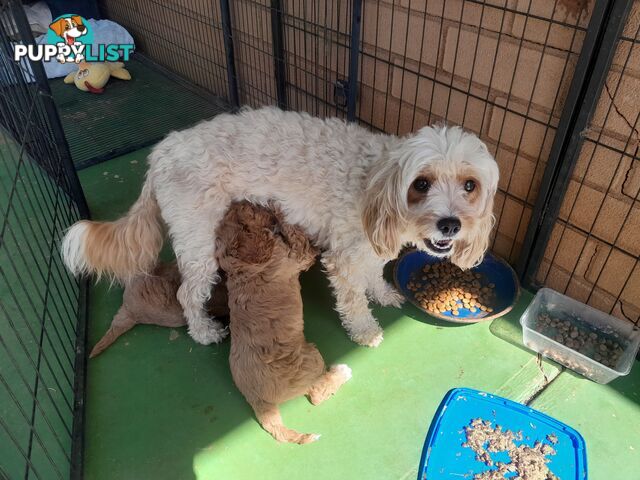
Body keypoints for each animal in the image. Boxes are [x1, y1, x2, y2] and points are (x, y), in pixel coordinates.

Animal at [61, 107, 500, 348]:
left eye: (470, 186)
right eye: (421, 183)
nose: (450, 223)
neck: (374, 180)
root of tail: (160, 153)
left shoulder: (372, 247)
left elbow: (374, 274)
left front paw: (383, 293)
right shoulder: (344, 258)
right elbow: (353, 300)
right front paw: (364, 331)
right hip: (198, 242)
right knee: (187, 293)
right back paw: (202, 332)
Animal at [218, 201, 352, 444]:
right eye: (245, 216)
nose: (241, 201)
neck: (243, 268)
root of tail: (257, 399)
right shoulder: (295, 256)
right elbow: (297, 238)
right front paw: (280, 213)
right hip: (310, 359)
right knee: (315, 394)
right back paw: (342, 372)